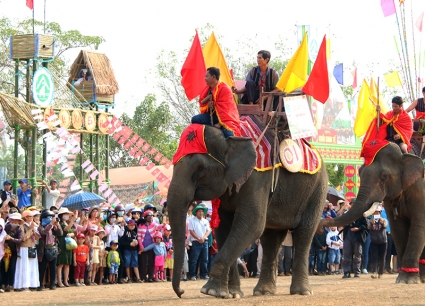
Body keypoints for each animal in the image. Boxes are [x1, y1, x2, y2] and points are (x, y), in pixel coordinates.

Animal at [167, 125, 326, 298]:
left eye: (200, 169)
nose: (181, 292)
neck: (229, 137)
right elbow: (223, 228)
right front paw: (232, 293)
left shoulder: (257, 179)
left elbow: (252, 223)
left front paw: (210, 291)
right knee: (270, 239)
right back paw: (264, 292)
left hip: (317, 191)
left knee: (304, 233)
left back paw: (301, 292)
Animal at [320, 143, 424, 284]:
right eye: (360, 172)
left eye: (385, 176)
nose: (319, 227)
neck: (405, 156)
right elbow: (398, 229)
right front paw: (403, 279)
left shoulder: (420, 191)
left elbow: (418, 225)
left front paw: (408, 280)